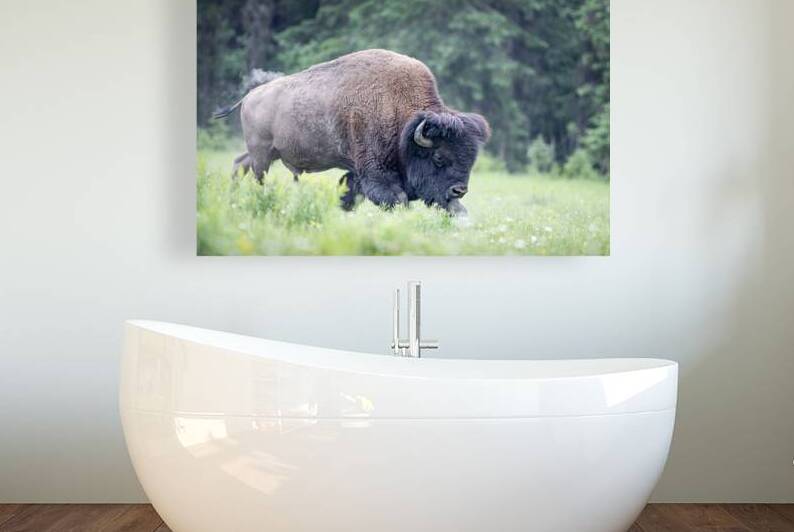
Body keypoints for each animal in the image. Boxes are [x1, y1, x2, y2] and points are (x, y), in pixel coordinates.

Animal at [213, 49, 490, 216]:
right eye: (439, 157)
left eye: (471, 158)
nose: (459, 191)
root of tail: (250, 96)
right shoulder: (375, 172)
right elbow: (394, 197)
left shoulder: (357, 171)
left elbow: (349, 192)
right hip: (262, 153)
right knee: (257, 176)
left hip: (266, 152)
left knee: (239, 164)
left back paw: (233, 198)